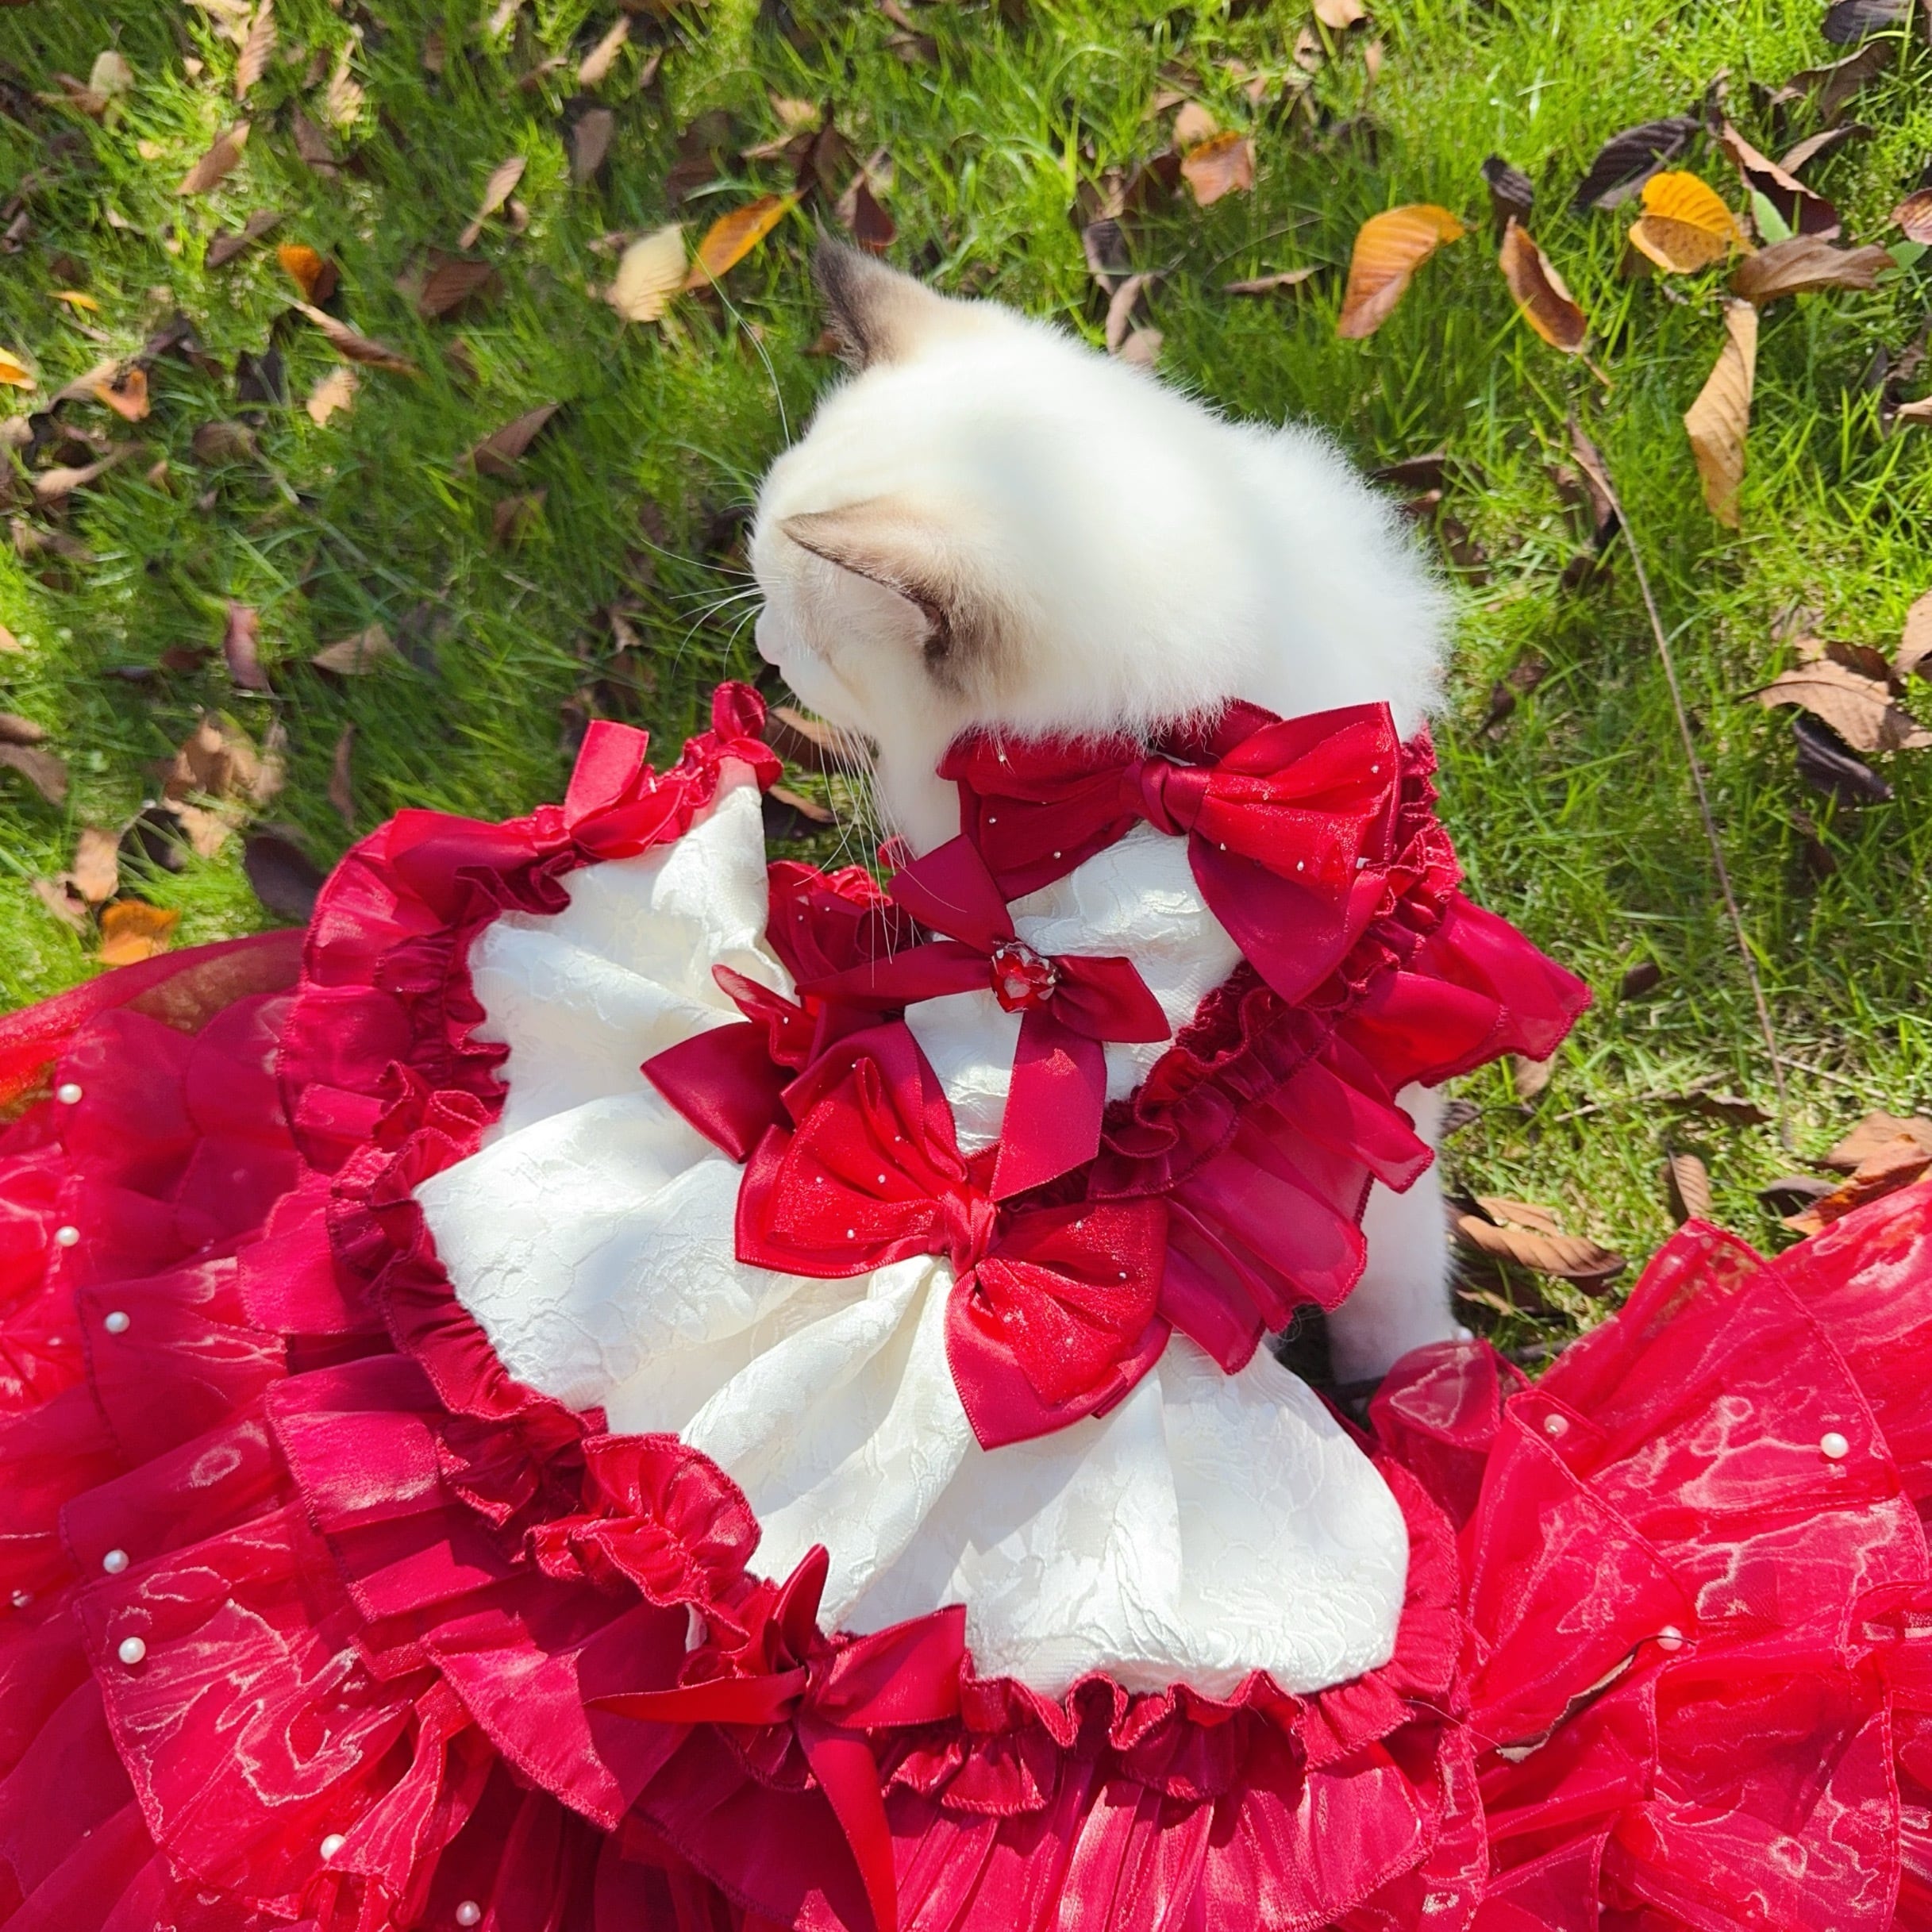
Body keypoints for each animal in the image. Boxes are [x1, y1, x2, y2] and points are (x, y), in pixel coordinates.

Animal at [749, 239, 1458, 1384]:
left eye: (807, 641)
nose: (765, 649)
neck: (1170, 754)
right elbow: (1385, 1263)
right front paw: (1416, 1389)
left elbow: (1388, 1264)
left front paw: (1422, 1389)